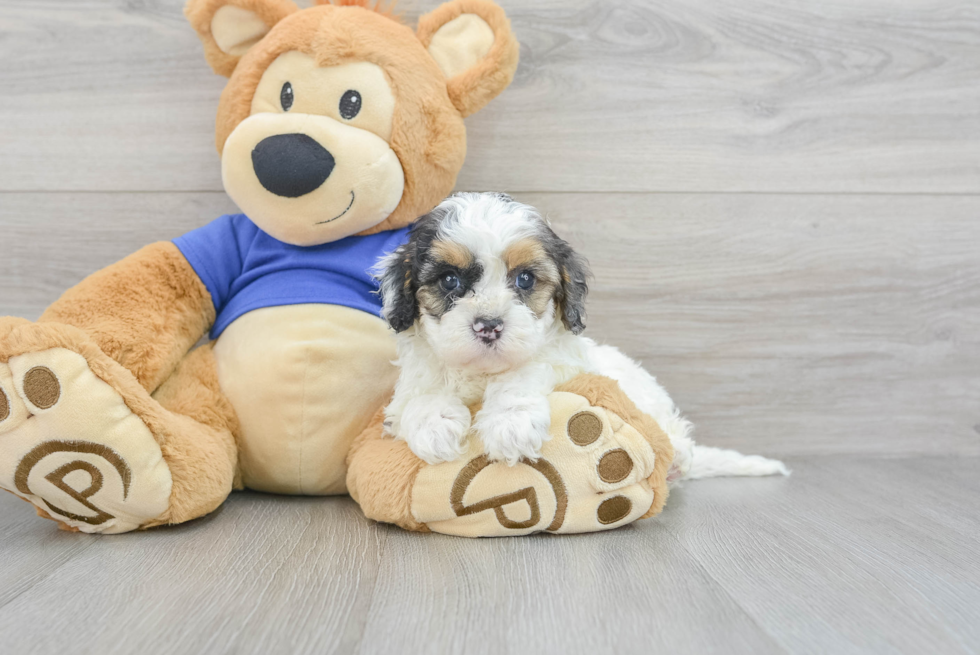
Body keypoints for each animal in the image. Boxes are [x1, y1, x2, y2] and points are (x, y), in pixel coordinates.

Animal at [378, 192, 788, 480]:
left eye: (524, 279)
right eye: (449, 280)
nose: (489, 325)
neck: (482, 373)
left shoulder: (564, 363)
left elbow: (525, 372)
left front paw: (509, 424)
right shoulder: (412, 383)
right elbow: (421, 395)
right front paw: (435, 426)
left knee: (677, 439)